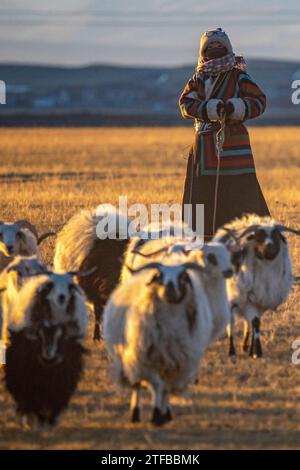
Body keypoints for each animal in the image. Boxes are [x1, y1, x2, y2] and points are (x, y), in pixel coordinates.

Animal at [4, 270, 88, 428]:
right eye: (50, 285)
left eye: (70, 286)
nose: (61, 297)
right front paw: (32, 419)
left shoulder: (67, 362)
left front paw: (50, 420)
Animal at [103, 258, 213, 426]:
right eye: (159, 276)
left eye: (183, 276)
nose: (170, 290)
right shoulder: (146, 361)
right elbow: (157, 385)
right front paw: (156, 415)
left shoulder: (176, 364)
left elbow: (166, 388)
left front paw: (164, 414)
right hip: (130, 360)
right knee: (137, 386)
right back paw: (135, 413)